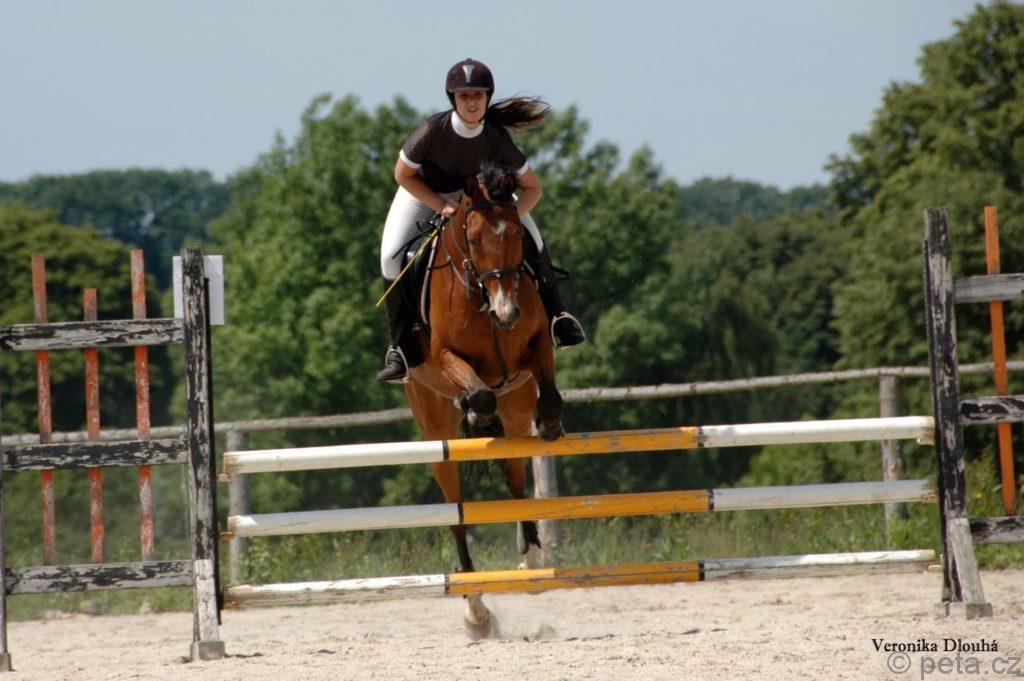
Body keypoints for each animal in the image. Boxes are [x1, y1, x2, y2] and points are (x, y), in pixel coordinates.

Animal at [403, 165, 565, 638]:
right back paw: (475, 609)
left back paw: (530, 559)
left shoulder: (535, 347)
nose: (505, 312)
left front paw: (551, 423)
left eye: (517, 235)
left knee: (515, 477)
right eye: (472, 238)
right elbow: (476, 391)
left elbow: (549, 398)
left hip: (515, 406)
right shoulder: (446, 357)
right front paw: (473, 408)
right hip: (433, 427)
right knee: (455, 508)